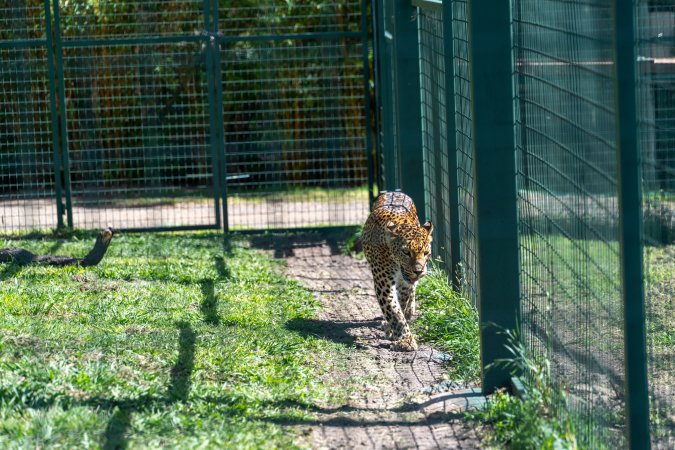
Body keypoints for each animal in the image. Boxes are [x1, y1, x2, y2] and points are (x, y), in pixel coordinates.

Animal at [362, 191, 433, 351]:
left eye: (426, 253)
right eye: (406, 252)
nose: (418, 271)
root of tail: (395, 191)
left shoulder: (404, 284)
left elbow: (400, 303)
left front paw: (394, 331)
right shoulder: (383, 284)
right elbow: (394, 311)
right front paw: (406, 340)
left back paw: (410, 310)